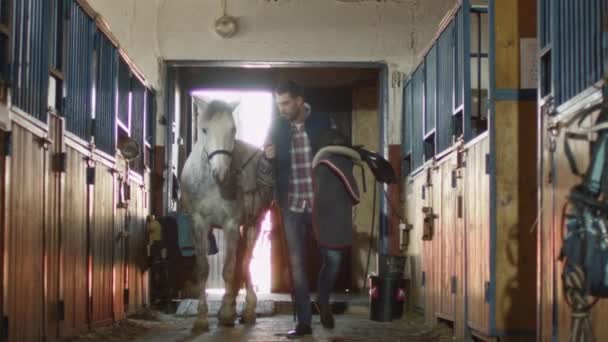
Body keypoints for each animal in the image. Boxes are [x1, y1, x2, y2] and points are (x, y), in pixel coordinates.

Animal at [178, 97, 274, 332]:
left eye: (233, 129)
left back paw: (247, 310)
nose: (220, 173)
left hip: (254, 223)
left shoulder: (231, 224)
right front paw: (202, 318)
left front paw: (228, 314)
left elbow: (229, 269)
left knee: (245, 261)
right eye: (204, 129)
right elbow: (203, 269)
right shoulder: (199, 223)